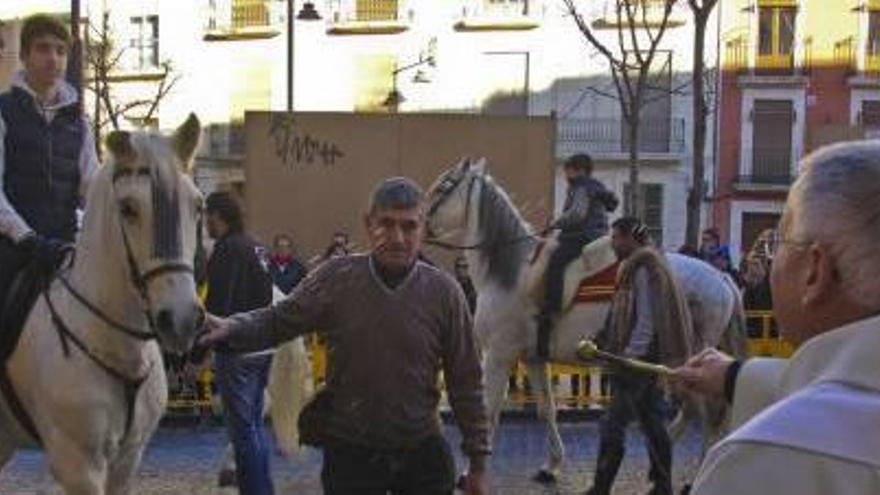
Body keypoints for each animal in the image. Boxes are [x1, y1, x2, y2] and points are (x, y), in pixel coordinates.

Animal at [422, 160, 744, 484]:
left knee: (706, 409)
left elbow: (488, 411)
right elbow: (546, 409)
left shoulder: (498, 356)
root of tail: (720, 277)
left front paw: (470, 472)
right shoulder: (533, 358)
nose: (420, 222)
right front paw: (551, 465)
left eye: (443, 186)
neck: (511, 273)